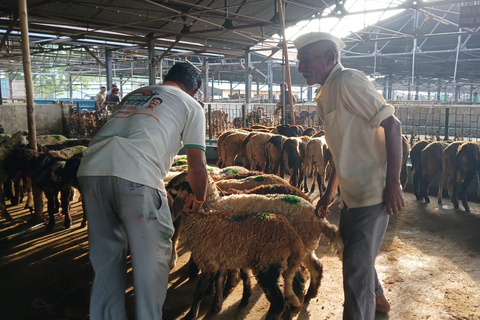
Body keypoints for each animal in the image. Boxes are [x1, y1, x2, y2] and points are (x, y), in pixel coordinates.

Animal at [178, 206, 306, 318]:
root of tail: (293, 238)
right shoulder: (226, 259)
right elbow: (238, 276)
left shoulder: (208, 263)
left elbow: (200, 289)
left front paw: (192, 314)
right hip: (288, 263)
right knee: (298, 283)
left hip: (267, 265)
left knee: (278, 302)